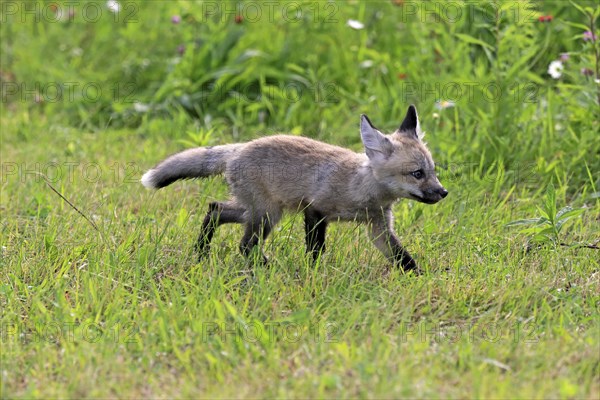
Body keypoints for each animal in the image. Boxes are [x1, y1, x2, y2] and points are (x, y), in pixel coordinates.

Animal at [143, 104, 448, 270]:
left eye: (433, 172)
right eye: (417, 174)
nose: (443, 192)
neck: (360, 189)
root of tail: (239, 148)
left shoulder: (378, 227)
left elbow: (403, 258)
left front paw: (420, 278)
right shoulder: (315, 210)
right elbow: (315, 251)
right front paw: (313, 275)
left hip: (258, 212)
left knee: (216, 210)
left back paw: (202, 252)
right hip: (266, 215)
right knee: (244, 245)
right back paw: (266, 266)